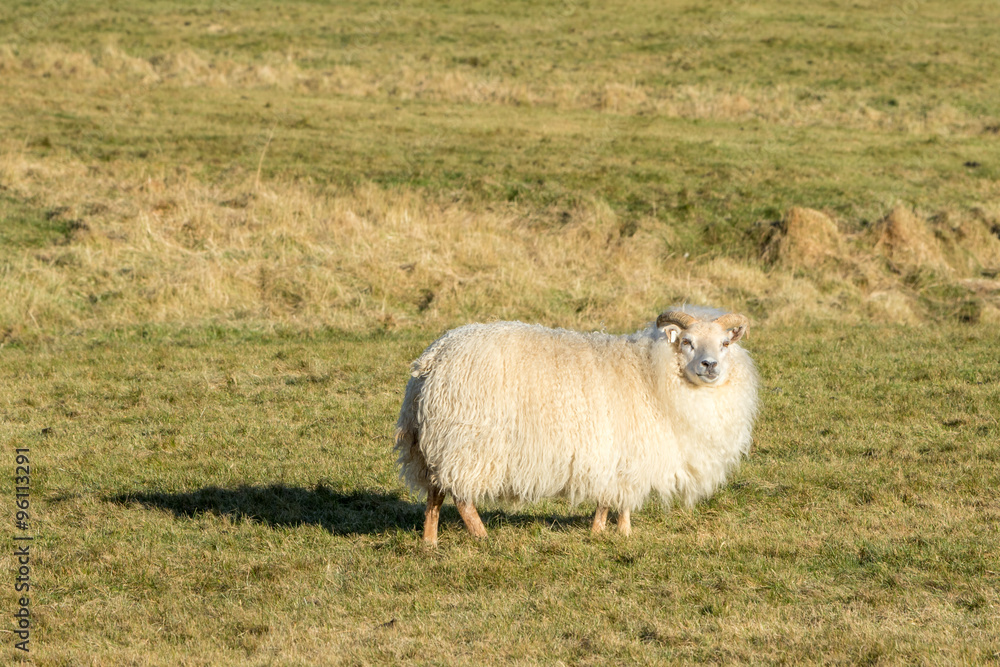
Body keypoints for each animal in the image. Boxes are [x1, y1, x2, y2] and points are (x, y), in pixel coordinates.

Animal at [394, 307, 759, 544]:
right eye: (687, 342)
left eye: (725, 344)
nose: (710, 365)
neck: (653, 371)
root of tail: (433, 359)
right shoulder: (631, 453)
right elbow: (619, 499)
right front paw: (621, 533)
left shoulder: (617, 455)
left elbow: (609, 498)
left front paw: (604, 532)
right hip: (469, 443)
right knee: (461, 497)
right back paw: (482, 538)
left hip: (434, 444)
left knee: (435, 493)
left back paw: (429, 541)